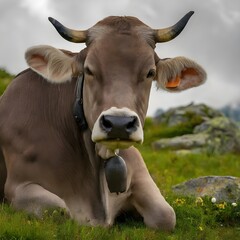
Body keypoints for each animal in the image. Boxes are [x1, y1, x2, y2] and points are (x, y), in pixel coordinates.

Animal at [0, 11, 206, 231]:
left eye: (150, 72)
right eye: (89, 70)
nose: (118, 124)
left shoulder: (141, 176)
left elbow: (166, 216)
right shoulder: (19, 186)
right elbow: (61, 212)